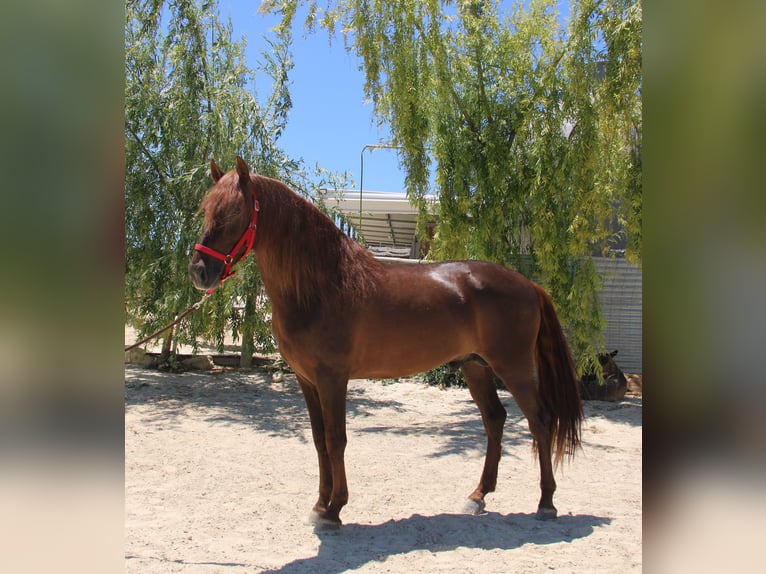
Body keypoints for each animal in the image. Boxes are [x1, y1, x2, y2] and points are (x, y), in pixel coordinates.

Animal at [189, 160, 584, 528]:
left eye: (235, 210)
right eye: (205, 208)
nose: (199, 271)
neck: (322, 287)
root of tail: (529, 285)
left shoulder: (333, 379)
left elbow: (336, 439)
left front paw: (335, 509)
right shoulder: (307, 380)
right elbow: (318, 440)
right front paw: (319, 505)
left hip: (514, 368)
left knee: (540, 421)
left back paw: (546, 502)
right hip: (476, 366)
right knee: (495, 419)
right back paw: (478, 496)